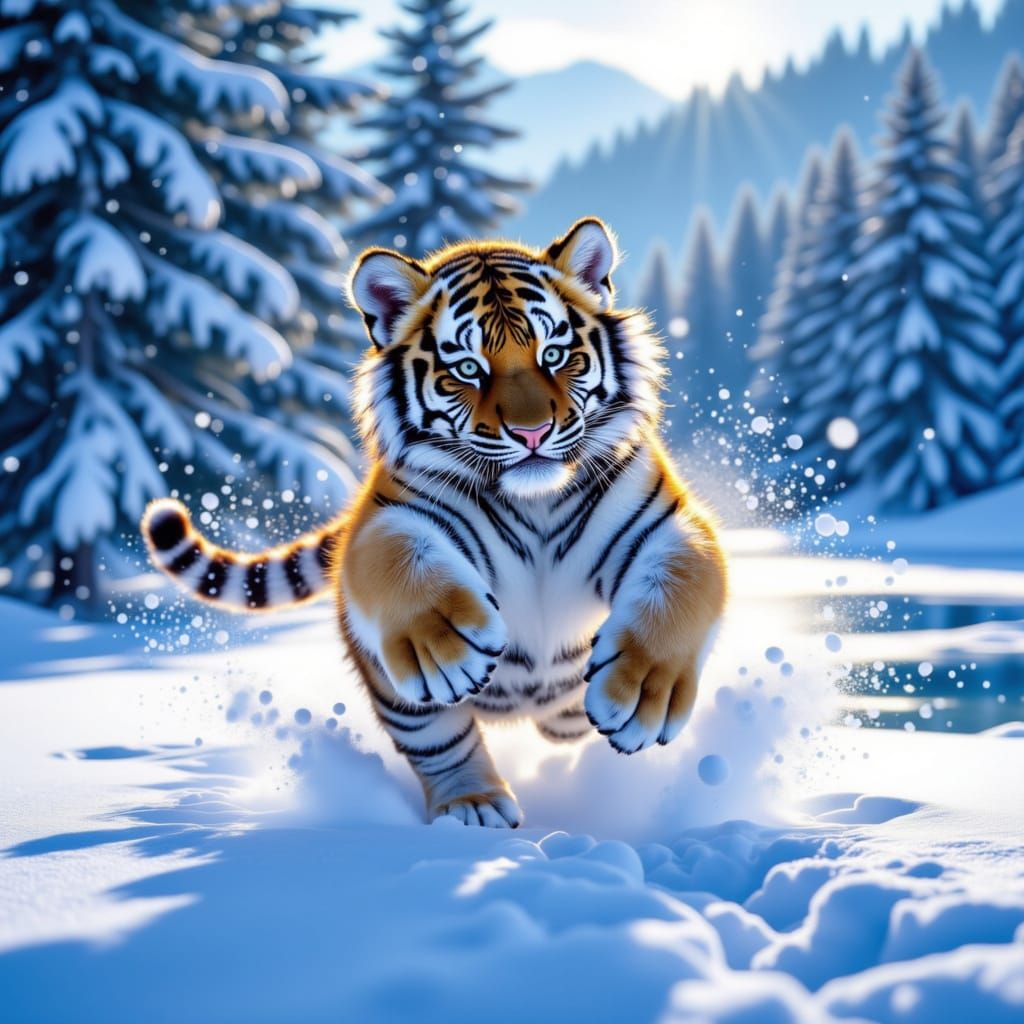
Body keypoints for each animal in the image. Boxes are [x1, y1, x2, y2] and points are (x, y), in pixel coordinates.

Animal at [142, 218, 728, 829]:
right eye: (468, 368)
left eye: (554, 354)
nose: (533, 433)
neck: (535, 503)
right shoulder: (384, 521)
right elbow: (400, 561)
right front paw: (446, 646)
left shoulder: (668, 523)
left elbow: (682, 586)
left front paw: (638, 693)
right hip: (401, 698)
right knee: (441, 741)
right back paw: (474, 802)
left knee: (559, 722)